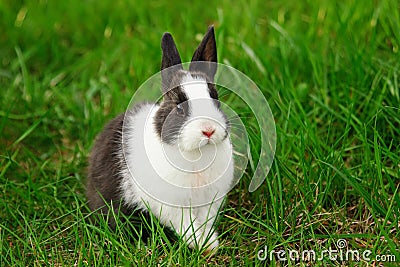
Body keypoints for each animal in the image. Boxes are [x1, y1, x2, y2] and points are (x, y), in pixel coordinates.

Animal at [86, 26, 233, 254]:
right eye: (179, 107)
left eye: (215, 98)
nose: (208, 130)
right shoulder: (172, 206)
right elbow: (187, 225)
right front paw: (204, 246)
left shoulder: (209, 202)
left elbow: (204, 221)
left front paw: (210, 244)